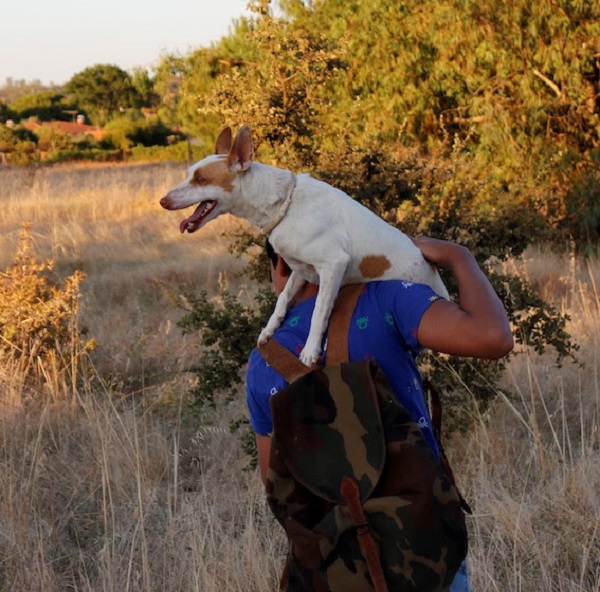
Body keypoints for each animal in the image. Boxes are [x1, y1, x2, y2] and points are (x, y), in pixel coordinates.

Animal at [159, 125, 446, 366]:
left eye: (200, 179)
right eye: (189, 175)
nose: (162, 201)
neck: (284, 205)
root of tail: (442, 290)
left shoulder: (333, 264)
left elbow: (318, 311)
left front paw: (310, 350)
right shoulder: (299, 269)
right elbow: (283, 299)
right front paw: (268, 330)